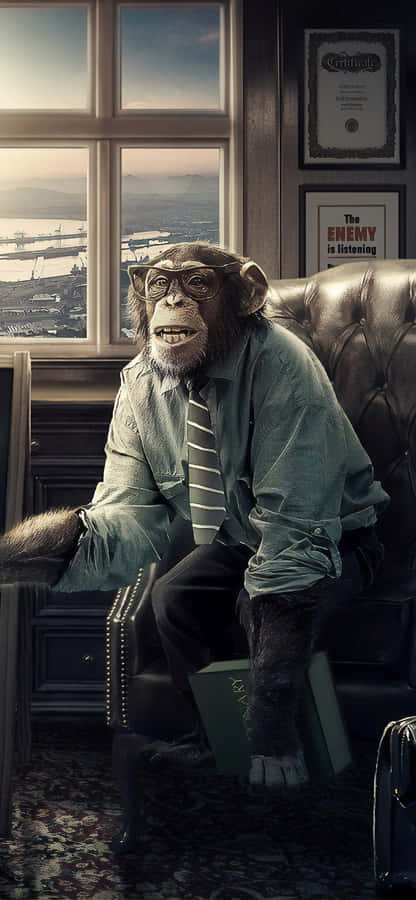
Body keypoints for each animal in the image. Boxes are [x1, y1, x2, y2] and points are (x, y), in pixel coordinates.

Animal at [0, 241, 389, 790]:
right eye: (159, 282)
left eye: (199, 282)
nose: (174, 300)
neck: (204, 373)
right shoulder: (132, 391)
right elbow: (121, 513)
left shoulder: (293, 383)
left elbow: (290, 534)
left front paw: (271, 738)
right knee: (173, 603)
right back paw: (197, 747)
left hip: (351, 557)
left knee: (269, 597)